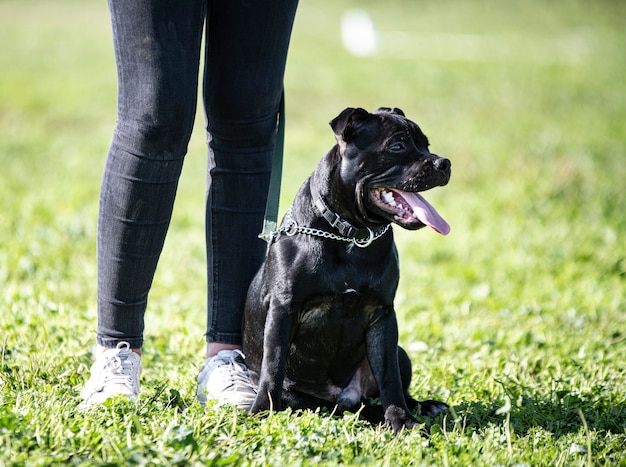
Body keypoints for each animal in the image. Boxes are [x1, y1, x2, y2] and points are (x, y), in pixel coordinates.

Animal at [241, 107, 450, 436]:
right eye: (397, 146)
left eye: (426, 145)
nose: (444, 163)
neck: (352, 235)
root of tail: (345, 394)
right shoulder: (283, 309)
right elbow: (272, 369)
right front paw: (261, 413)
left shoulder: (382, 315)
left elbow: (389, 378)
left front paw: (401, 421)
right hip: (300, 393)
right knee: (335, 407)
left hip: (401, 352)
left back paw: (421, 407)